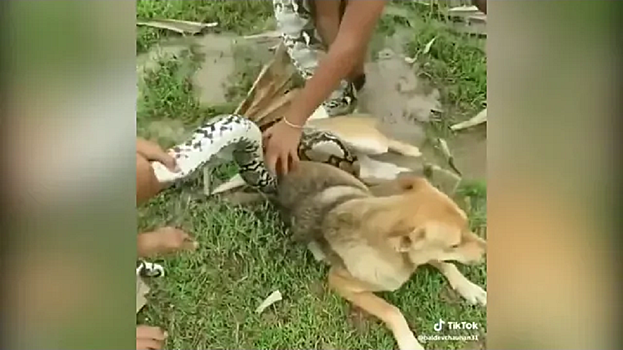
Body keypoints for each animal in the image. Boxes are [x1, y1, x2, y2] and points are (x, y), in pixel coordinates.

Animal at [274, 161, 488, 350]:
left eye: (467, 225)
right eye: (454, 245)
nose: (487, 251)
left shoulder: (417, 254)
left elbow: (448, 264)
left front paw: (470, 288)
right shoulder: (339, 282)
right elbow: (391, 310)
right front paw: (409, 342)